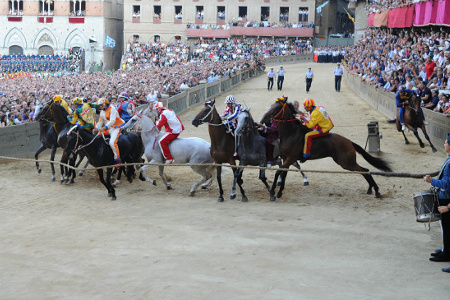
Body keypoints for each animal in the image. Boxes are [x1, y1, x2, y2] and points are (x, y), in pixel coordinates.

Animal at [260, 99, 394, 200]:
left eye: (276, 108)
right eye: (271, 106)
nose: (263, 120)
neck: (291, 133)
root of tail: (349, 141)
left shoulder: (291, 158)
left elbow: (278, 173)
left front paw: (273, 191)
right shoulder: (286, 158)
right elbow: (284, 174)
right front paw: (279, 192)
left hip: (346, 162)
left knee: (365, 170)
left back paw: (376, 190)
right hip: (345, 162)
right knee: (364, 171)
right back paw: (371, 189)